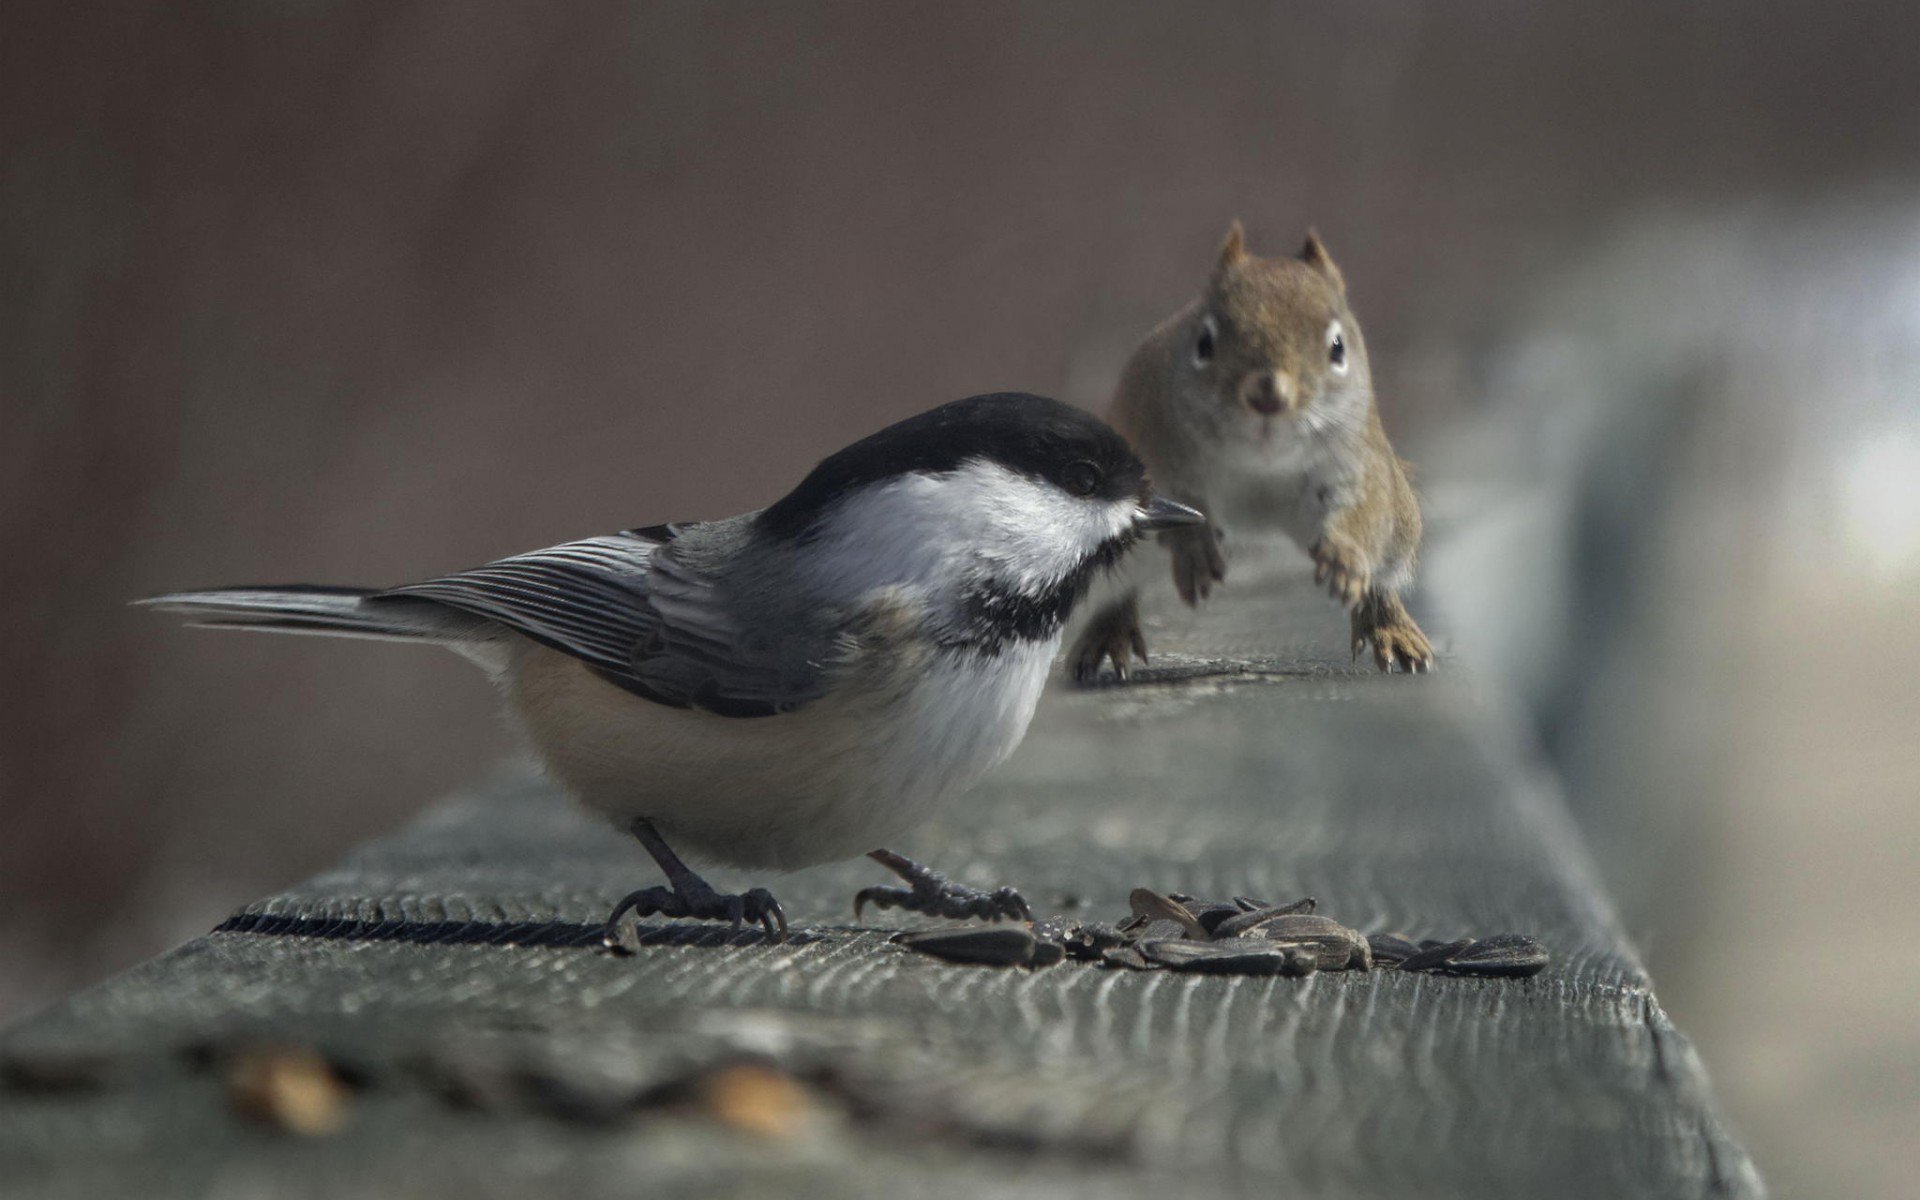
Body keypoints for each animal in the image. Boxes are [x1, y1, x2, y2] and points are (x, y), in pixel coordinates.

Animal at [1075, 220, 1436, 679]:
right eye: (1204, 343)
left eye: (1337, 347)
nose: (1268, 392)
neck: (1262, 463)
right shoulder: (1153, 444)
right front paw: (1193, 548)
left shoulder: (1358, 463)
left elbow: (1363, 513)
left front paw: (1345, 557)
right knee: (1117, 593)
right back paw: (1109, 633)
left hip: (1399, 524)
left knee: (1383, 577)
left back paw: (1389, 626)